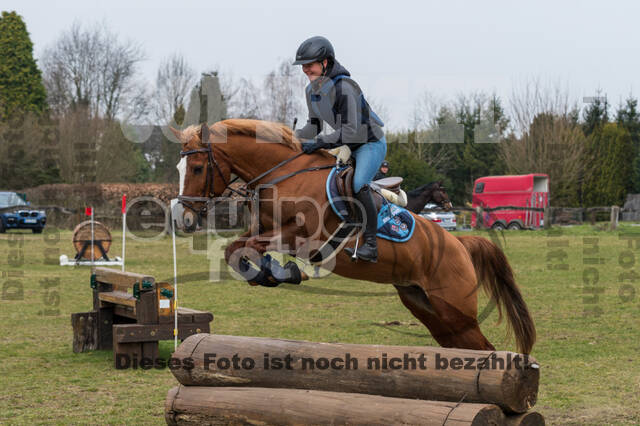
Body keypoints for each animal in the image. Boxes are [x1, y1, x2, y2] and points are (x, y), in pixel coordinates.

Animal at [170, 119, 536, 352]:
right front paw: (272, 273)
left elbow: (249, 247)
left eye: (198, 168)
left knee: (483, 347)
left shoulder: (301, 235)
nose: (182, 218)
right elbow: (236, 248)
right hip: (429, 308)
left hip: (456, 311)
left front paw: (283, 272)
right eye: (179, 169)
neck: (284, 175)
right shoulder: (263, 230)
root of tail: (458, 243)